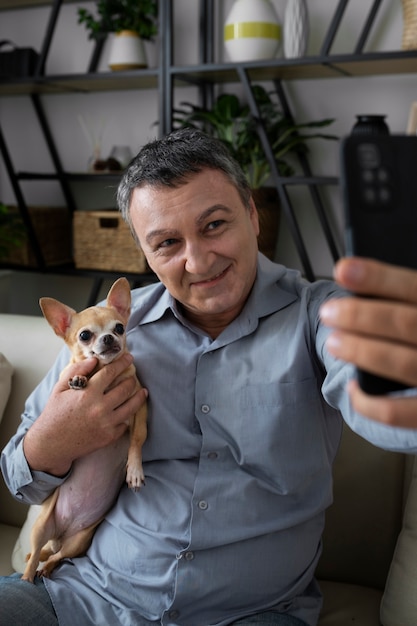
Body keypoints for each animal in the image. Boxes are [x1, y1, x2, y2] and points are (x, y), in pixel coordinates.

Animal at [22, 278, 148, 580]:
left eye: (119, 328)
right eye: (85, 335)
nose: (109, 338)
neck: (103, 373)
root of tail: (59, 535)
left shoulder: (139, 407)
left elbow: (137, 439)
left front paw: (135, 470)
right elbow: (74, 375)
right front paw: (79, 377)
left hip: (79, 541)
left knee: (57, 556)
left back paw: (46, 569)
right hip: (40, 528)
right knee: (37, 554)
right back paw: (28, 574)